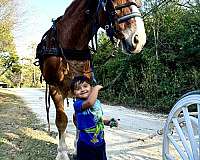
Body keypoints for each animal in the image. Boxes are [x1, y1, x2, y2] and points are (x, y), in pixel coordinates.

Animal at [35, 0, 145, 159]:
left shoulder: (83, 84)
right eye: (112, 4)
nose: (139, 39)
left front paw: (77, 147)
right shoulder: (56, 88)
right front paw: (62, 153)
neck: (70, 45)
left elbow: (79, 118)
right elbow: (62, 120)